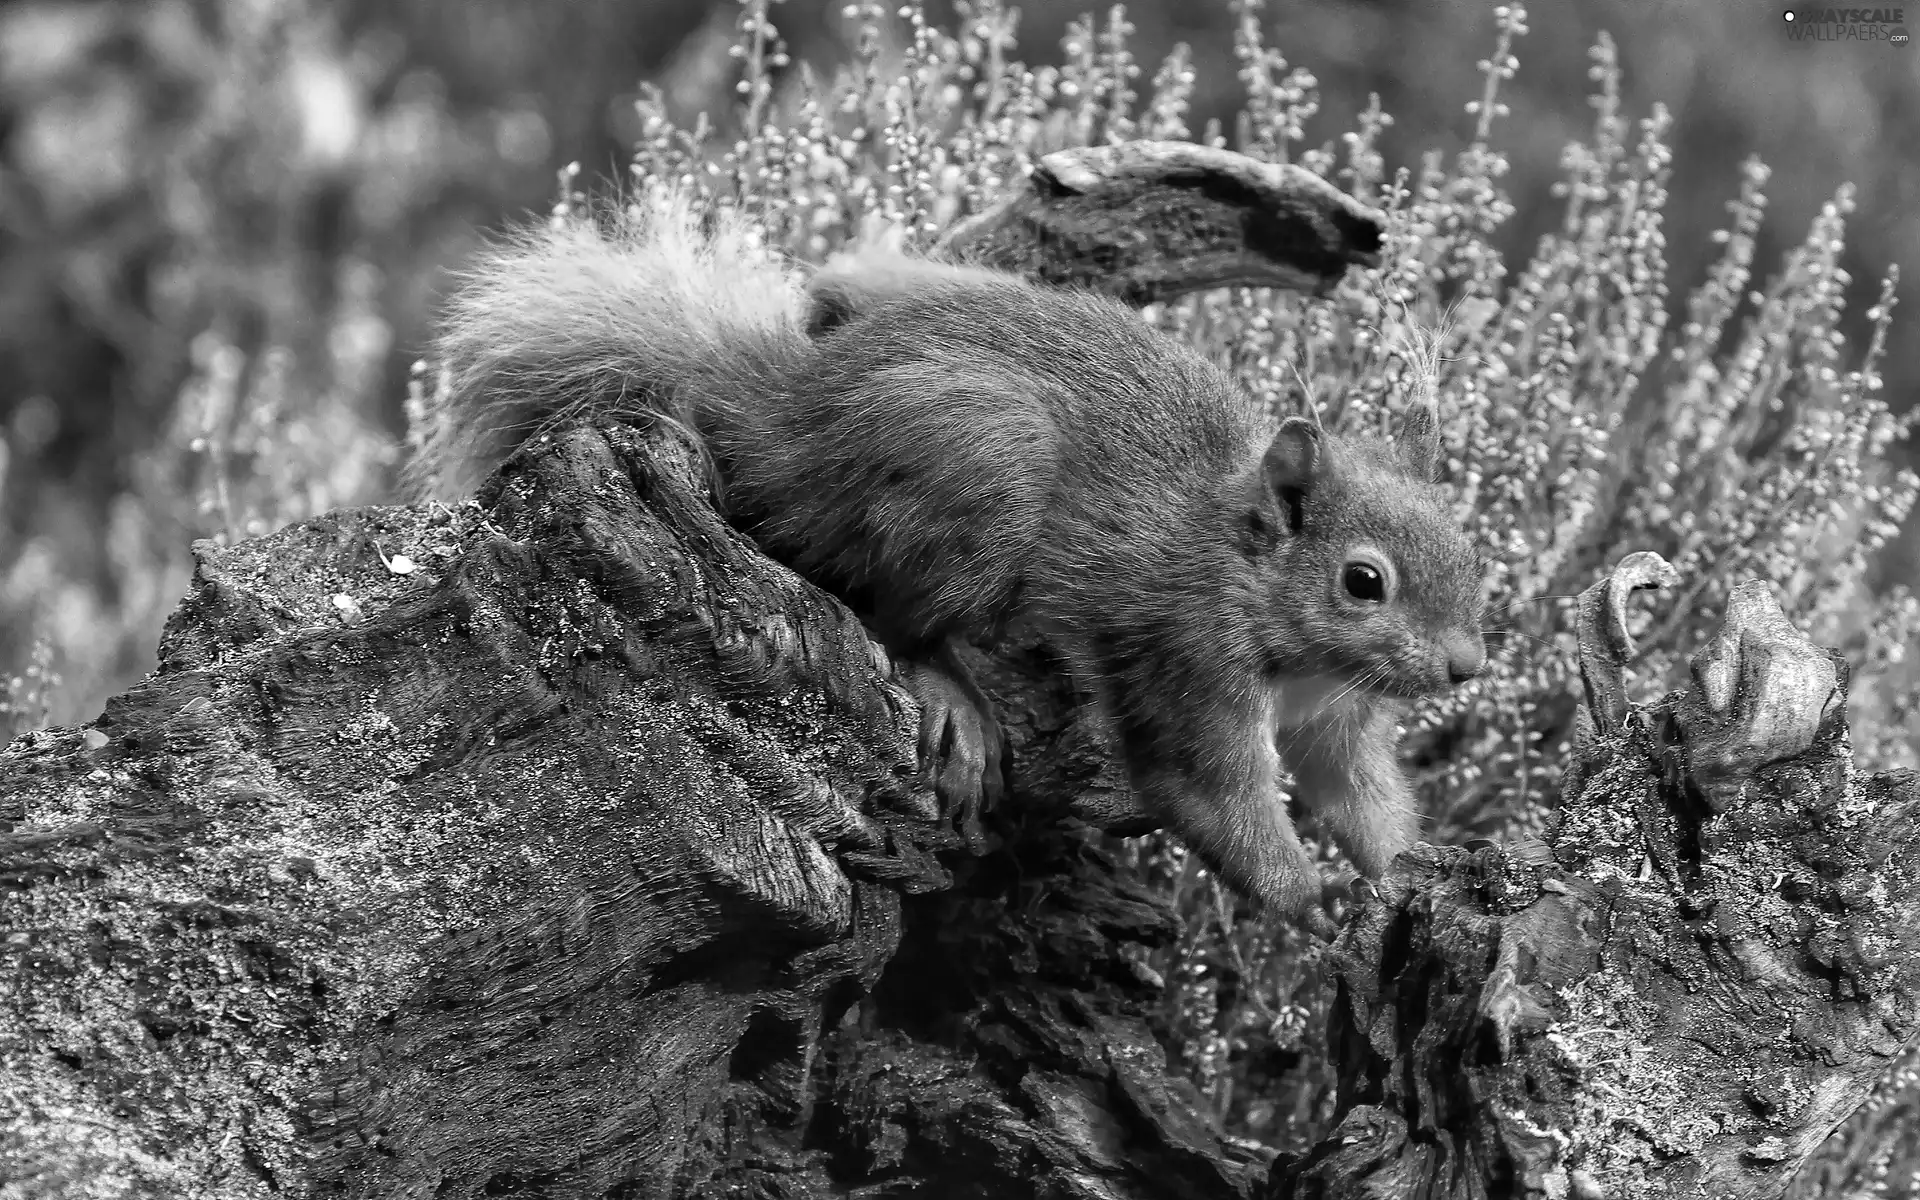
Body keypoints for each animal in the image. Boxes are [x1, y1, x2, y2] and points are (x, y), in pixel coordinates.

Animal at [401, 193, 1482, 917]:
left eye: (1469, 554)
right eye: (1363, 581)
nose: (1467, 665)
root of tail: (782, 416)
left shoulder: (1337, 718)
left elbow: (1362, 797)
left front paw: (1417, 872)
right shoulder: (1188, 663)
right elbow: (1213, 798)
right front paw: (1313, 908)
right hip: (983, 464)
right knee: (898, 617)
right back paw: (956, 691)